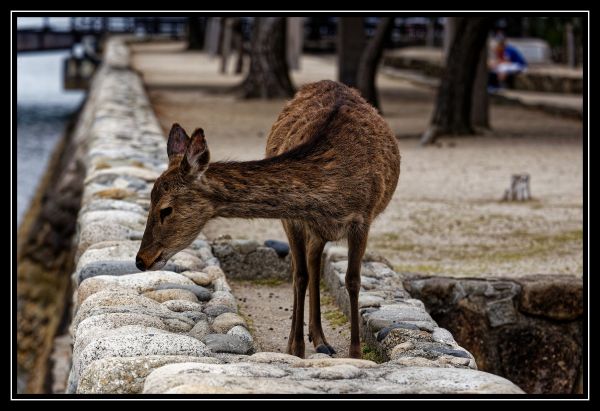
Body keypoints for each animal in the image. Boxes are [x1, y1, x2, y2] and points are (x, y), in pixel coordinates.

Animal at [135, 79, 398, 358]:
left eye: (166, 209)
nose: (141, 259)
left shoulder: (363, 218)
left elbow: (353, 280)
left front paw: (356, 353)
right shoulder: (292, 219)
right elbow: (299, 275)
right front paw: (294, 348)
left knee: (315, 262)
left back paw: (321, 340)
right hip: (312, 229)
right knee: (309, 265)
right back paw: (317, 339)